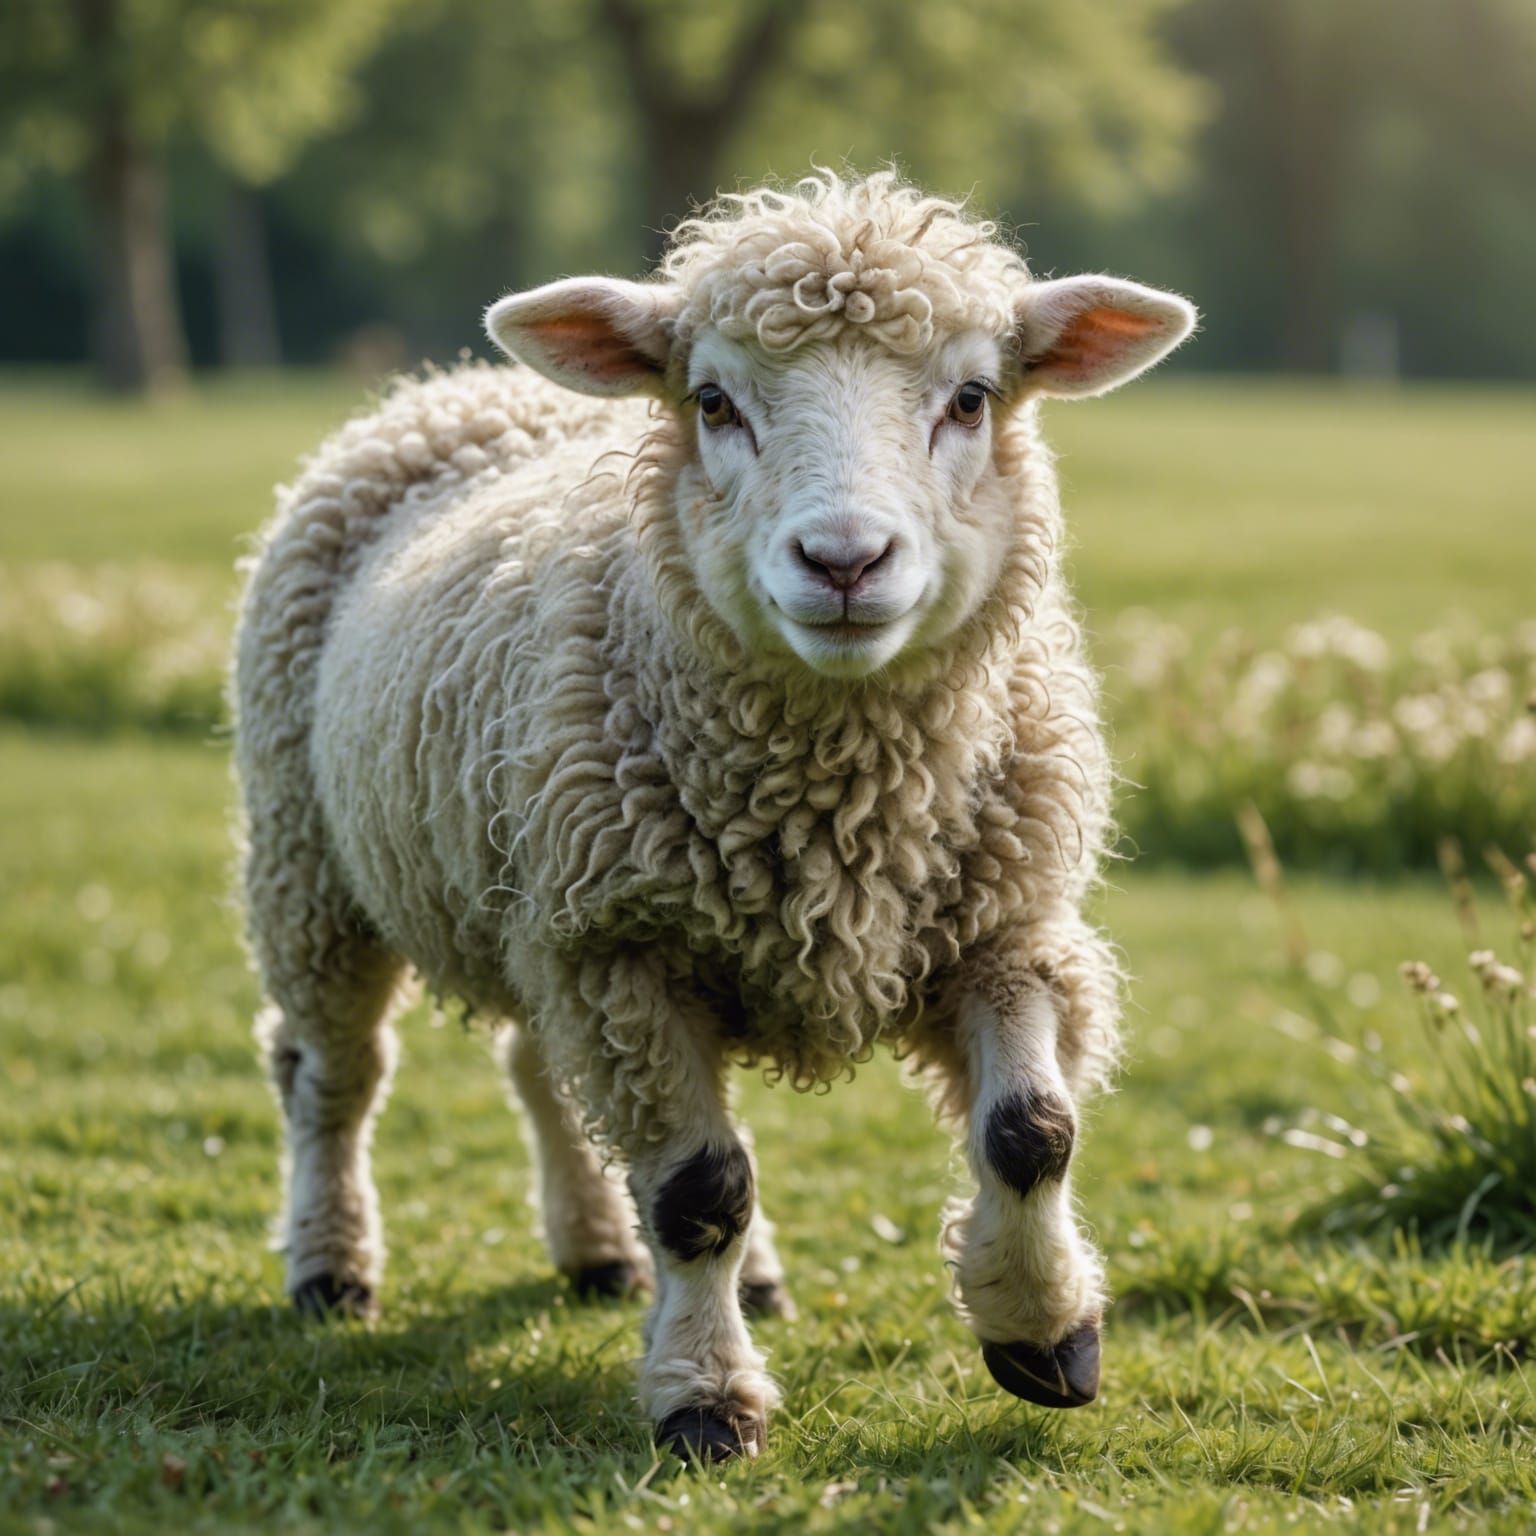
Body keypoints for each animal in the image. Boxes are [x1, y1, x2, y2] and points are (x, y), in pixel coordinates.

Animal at [232, 170, 1195, 1462]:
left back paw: (609, 1254)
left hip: (537, 899)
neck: (845, 803)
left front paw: (1045, 1330)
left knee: (540, 1068)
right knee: (331, 1074)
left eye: (971, 398)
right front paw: (705, 1396)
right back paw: (333, 1267)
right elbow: (699, 1193)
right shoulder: (623, 948)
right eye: (713, 400)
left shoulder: (1005, 926)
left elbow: (1033, 1131)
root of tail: (449, 388)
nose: (844, 560)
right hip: (316, 869)